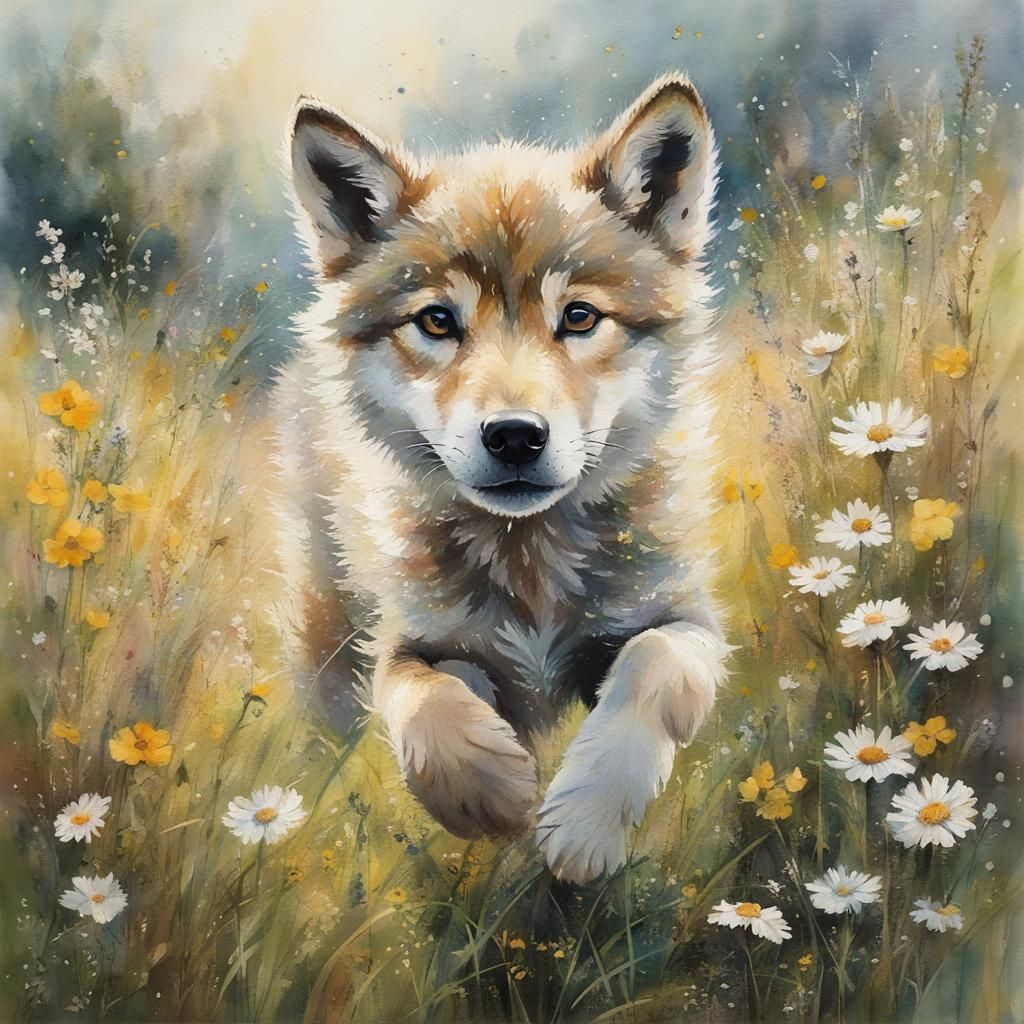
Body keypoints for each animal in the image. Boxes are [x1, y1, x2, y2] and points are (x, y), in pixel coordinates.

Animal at [272, 73, 731, 884]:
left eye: (578, 317)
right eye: (436, 321)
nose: (515, 435)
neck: (530, 557)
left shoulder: (684, 620)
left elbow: (649, 670)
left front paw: (583, 827)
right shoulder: (414, 641)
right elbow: (426, 701)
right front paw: (490, 793)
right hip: (323, 648)